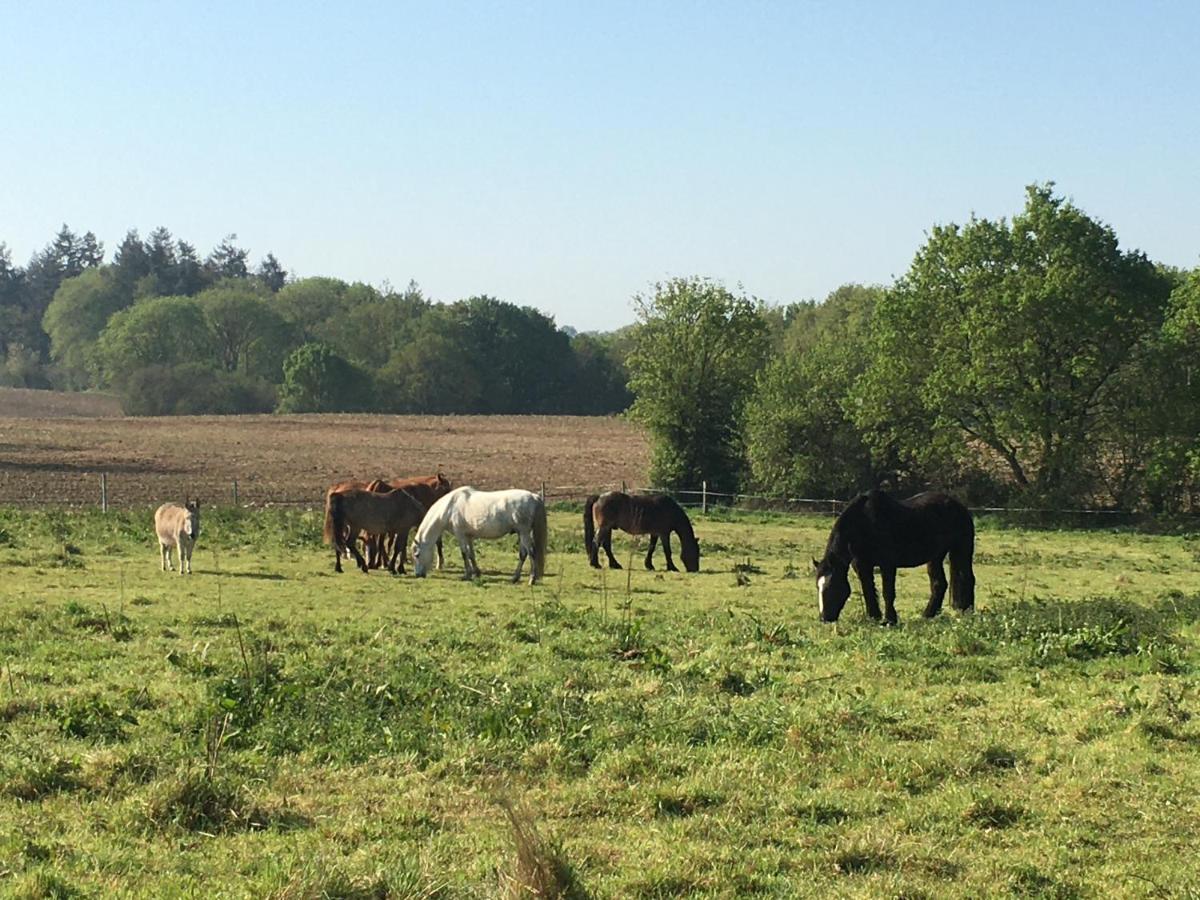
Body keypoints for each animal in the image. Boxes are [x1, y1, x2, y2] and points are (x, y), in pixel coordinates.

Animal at [410, 487, 547, 585]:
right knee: (523, 554)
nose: (418, 575)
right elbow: (471, 555)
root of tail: (534, 497)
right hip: (521, 533)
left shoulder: (460, 535)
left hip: (524, 533)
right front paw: (476, 573)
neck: (450, 507)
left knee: (531, 553)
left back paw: (531, 579)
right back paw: (514, 578)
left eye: (417, 555)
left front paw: (467, 575)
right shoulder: (469, 537)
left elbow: (464, 554)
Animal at [811, 494, 979, 628]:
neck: (865, 523)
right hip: (935, 556)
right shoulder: (862, 566)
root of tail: (959, 506)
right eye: (817, 587)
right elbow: (868, 591)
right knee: (939, 584)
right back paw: (927, 615)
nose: (824, 619)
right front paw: (874, 617)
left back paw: (967, 613)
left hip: (962, 549)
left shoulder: (887, 565)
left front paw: (889, 620)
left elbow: (888, 592)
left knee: (966, 578)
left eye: (831, 586)